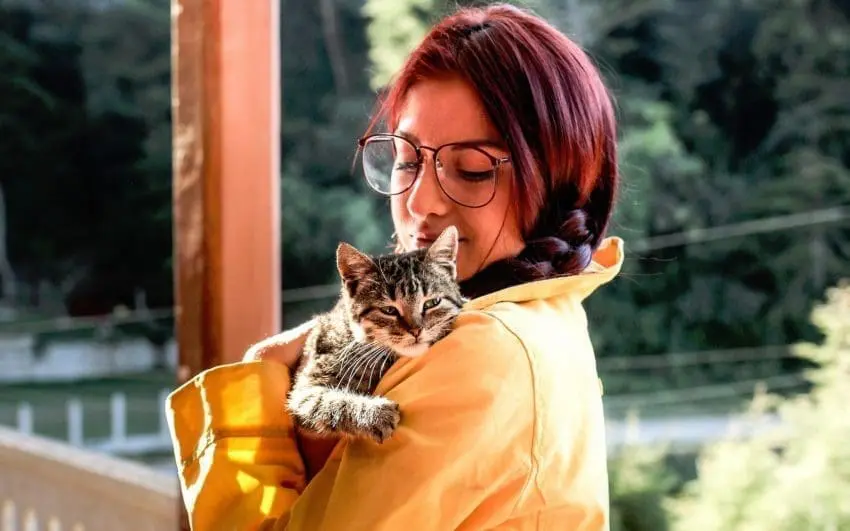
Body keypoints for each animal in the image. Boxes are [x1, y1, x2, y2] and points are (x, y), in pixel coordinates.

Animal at [288, 225, 468, 444]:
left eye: (432, 303)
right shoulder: (304, 390)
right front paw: (373, 414)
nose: (416, 330)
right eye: (389, 310)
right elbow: (329, 403)